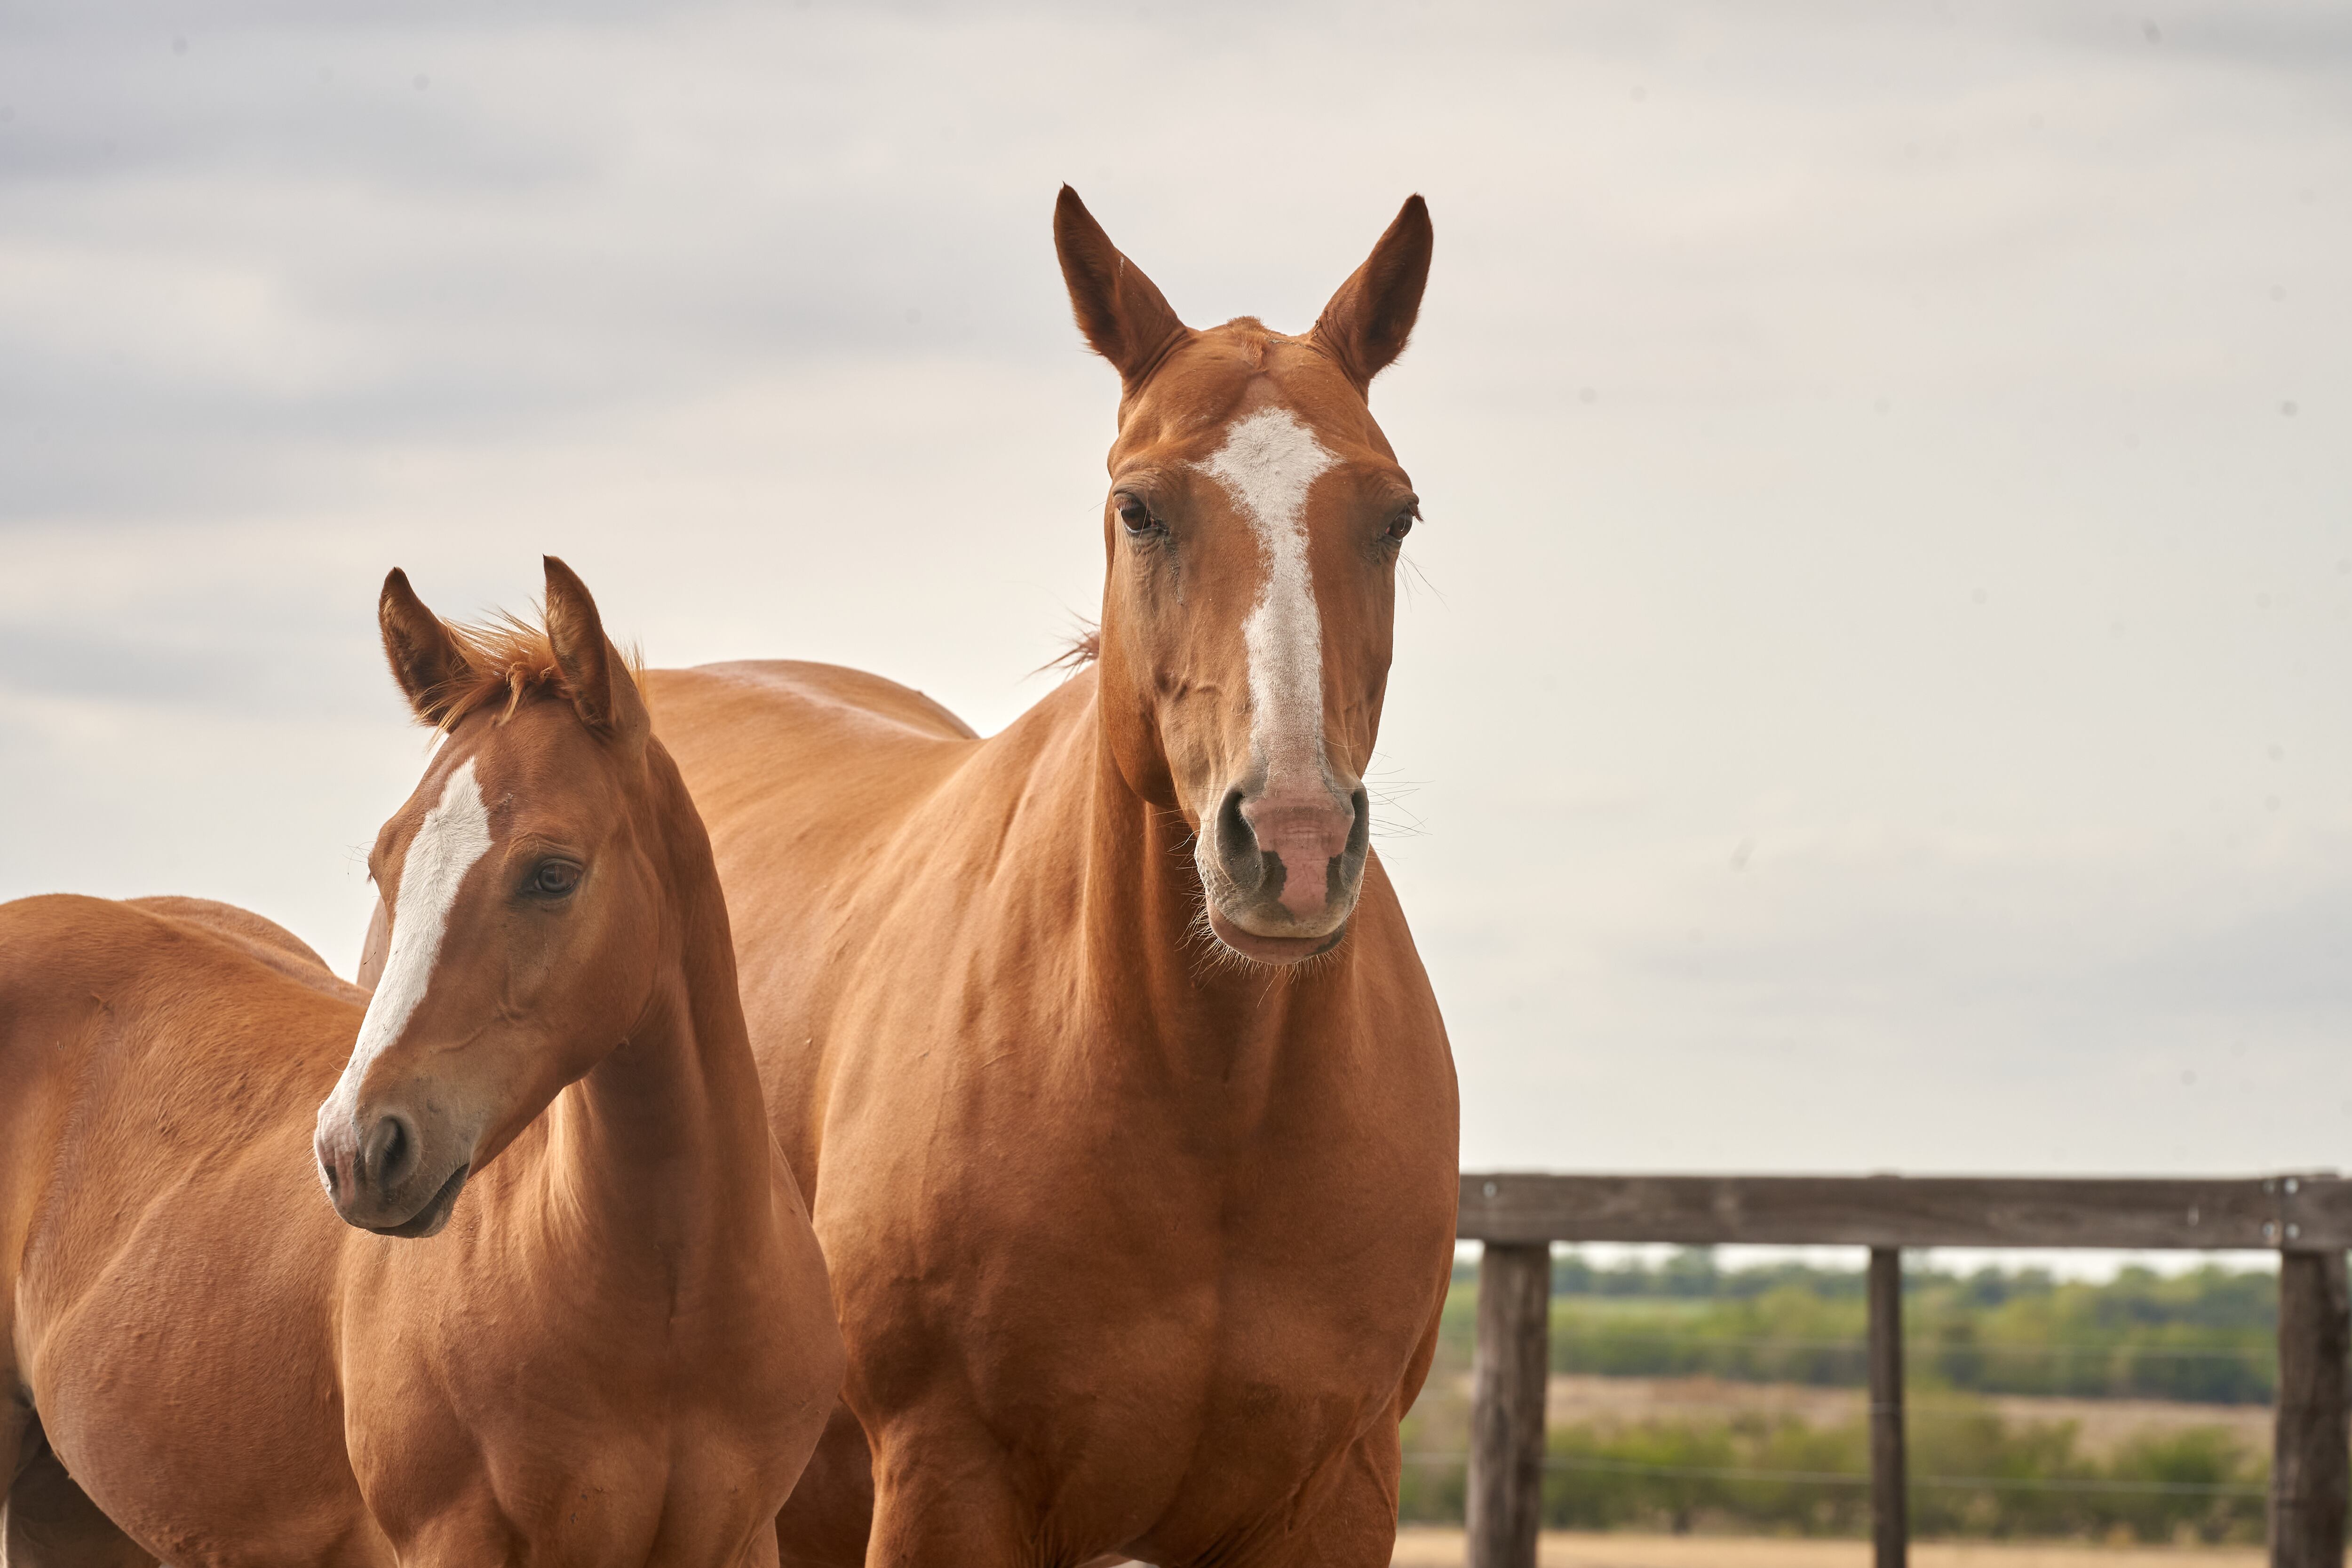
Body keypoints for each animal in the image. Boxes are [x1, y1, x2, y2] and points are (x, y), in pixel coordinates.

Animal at [1, 557, 842, 1567]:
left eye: (553, 872)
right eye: (383, 864)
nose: (359, 1151)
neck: (669, 1308)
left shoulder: (740, 1537)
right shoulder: (454, 1537)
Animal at [639, 190, 1461, 1566]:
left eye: (1392, 515)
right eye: (1140, 507)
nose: (1291, 843)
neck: (1211, 1112)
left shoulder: (1333, 1493)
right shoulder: (944, 1485)